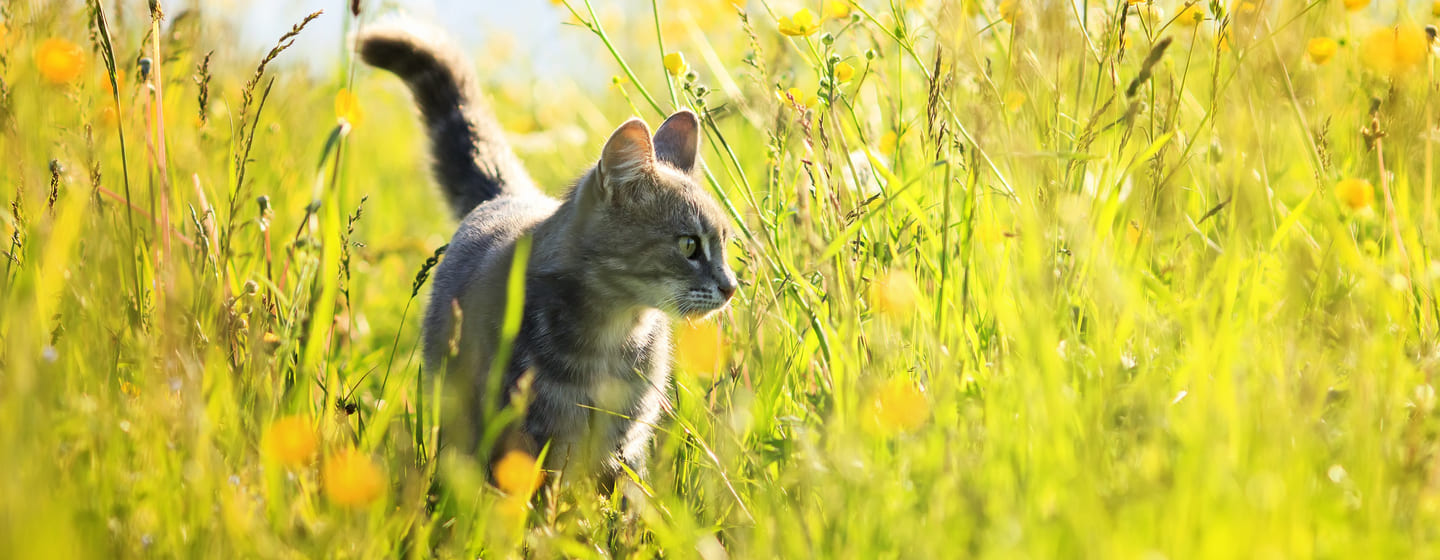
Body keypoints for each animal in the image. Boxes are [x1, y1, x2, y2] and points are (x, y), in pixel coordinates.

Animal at [358, 20, 737, 483]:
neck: (612, 336)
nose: (731, 287)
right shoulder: (523, 440)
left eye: (725, 242)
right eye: (689, 245)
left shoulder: (625, 446)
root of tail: (512, 196)